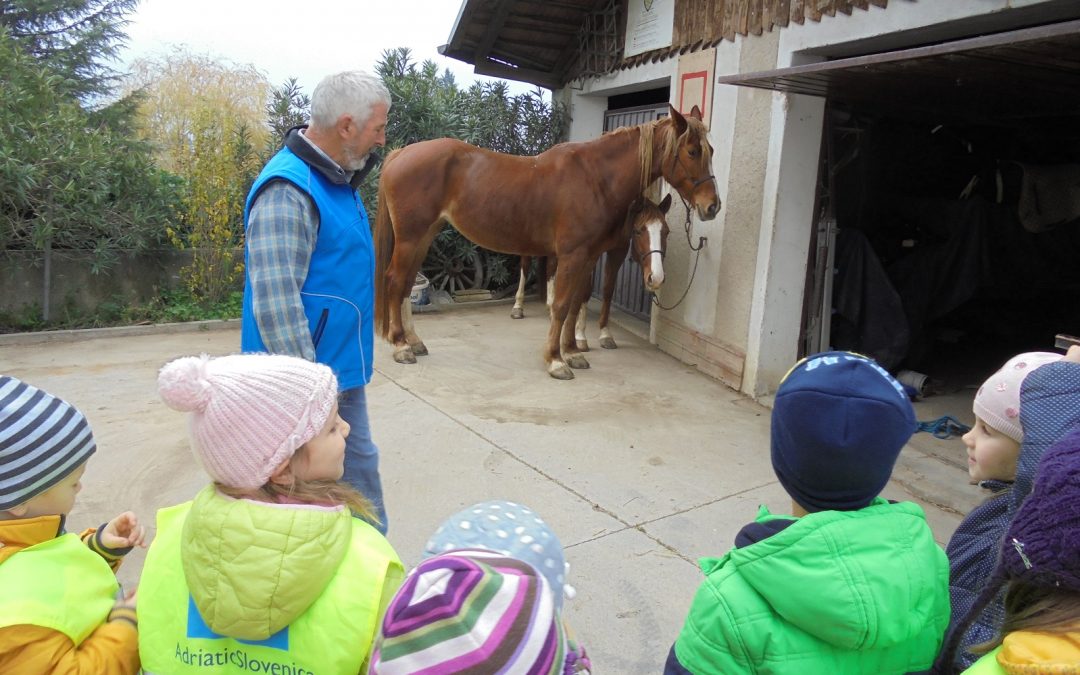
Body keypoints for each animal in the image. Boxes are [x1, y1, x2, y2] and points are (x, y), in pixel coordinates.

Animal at [509, 191, 669, 347]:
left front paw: (605, 333)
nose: (656, 277)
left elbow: (608, 290)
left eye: (666, 232)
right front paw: (580, 335)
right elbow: (585, 290)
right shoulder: (588, 252)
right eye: (638, 231)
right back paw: (518, 307)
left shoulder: (618, 250)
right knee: (526, 265)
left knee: (551, 268)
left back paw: (550, 305)